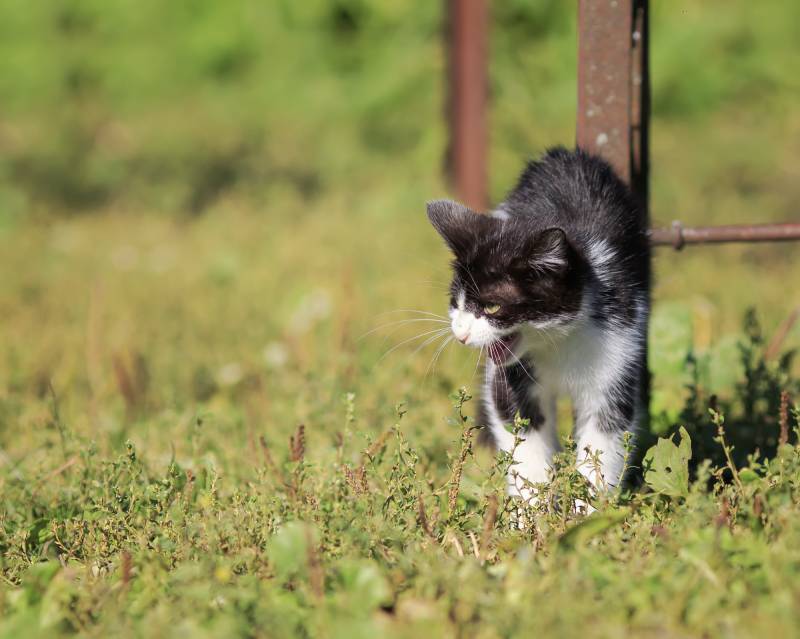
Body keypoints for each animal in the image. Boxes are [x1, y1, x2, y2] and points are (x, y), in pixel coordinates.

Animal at [424, 148, 648, 508]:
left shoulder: (620, 340)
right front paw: (531, 511)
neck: (558, 339)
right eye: (456, 302)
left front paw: (588, 511)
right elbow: (519, 426)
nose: (461, 334)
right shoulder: (511, 379)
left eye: (492, 307)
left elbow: (605, 434)